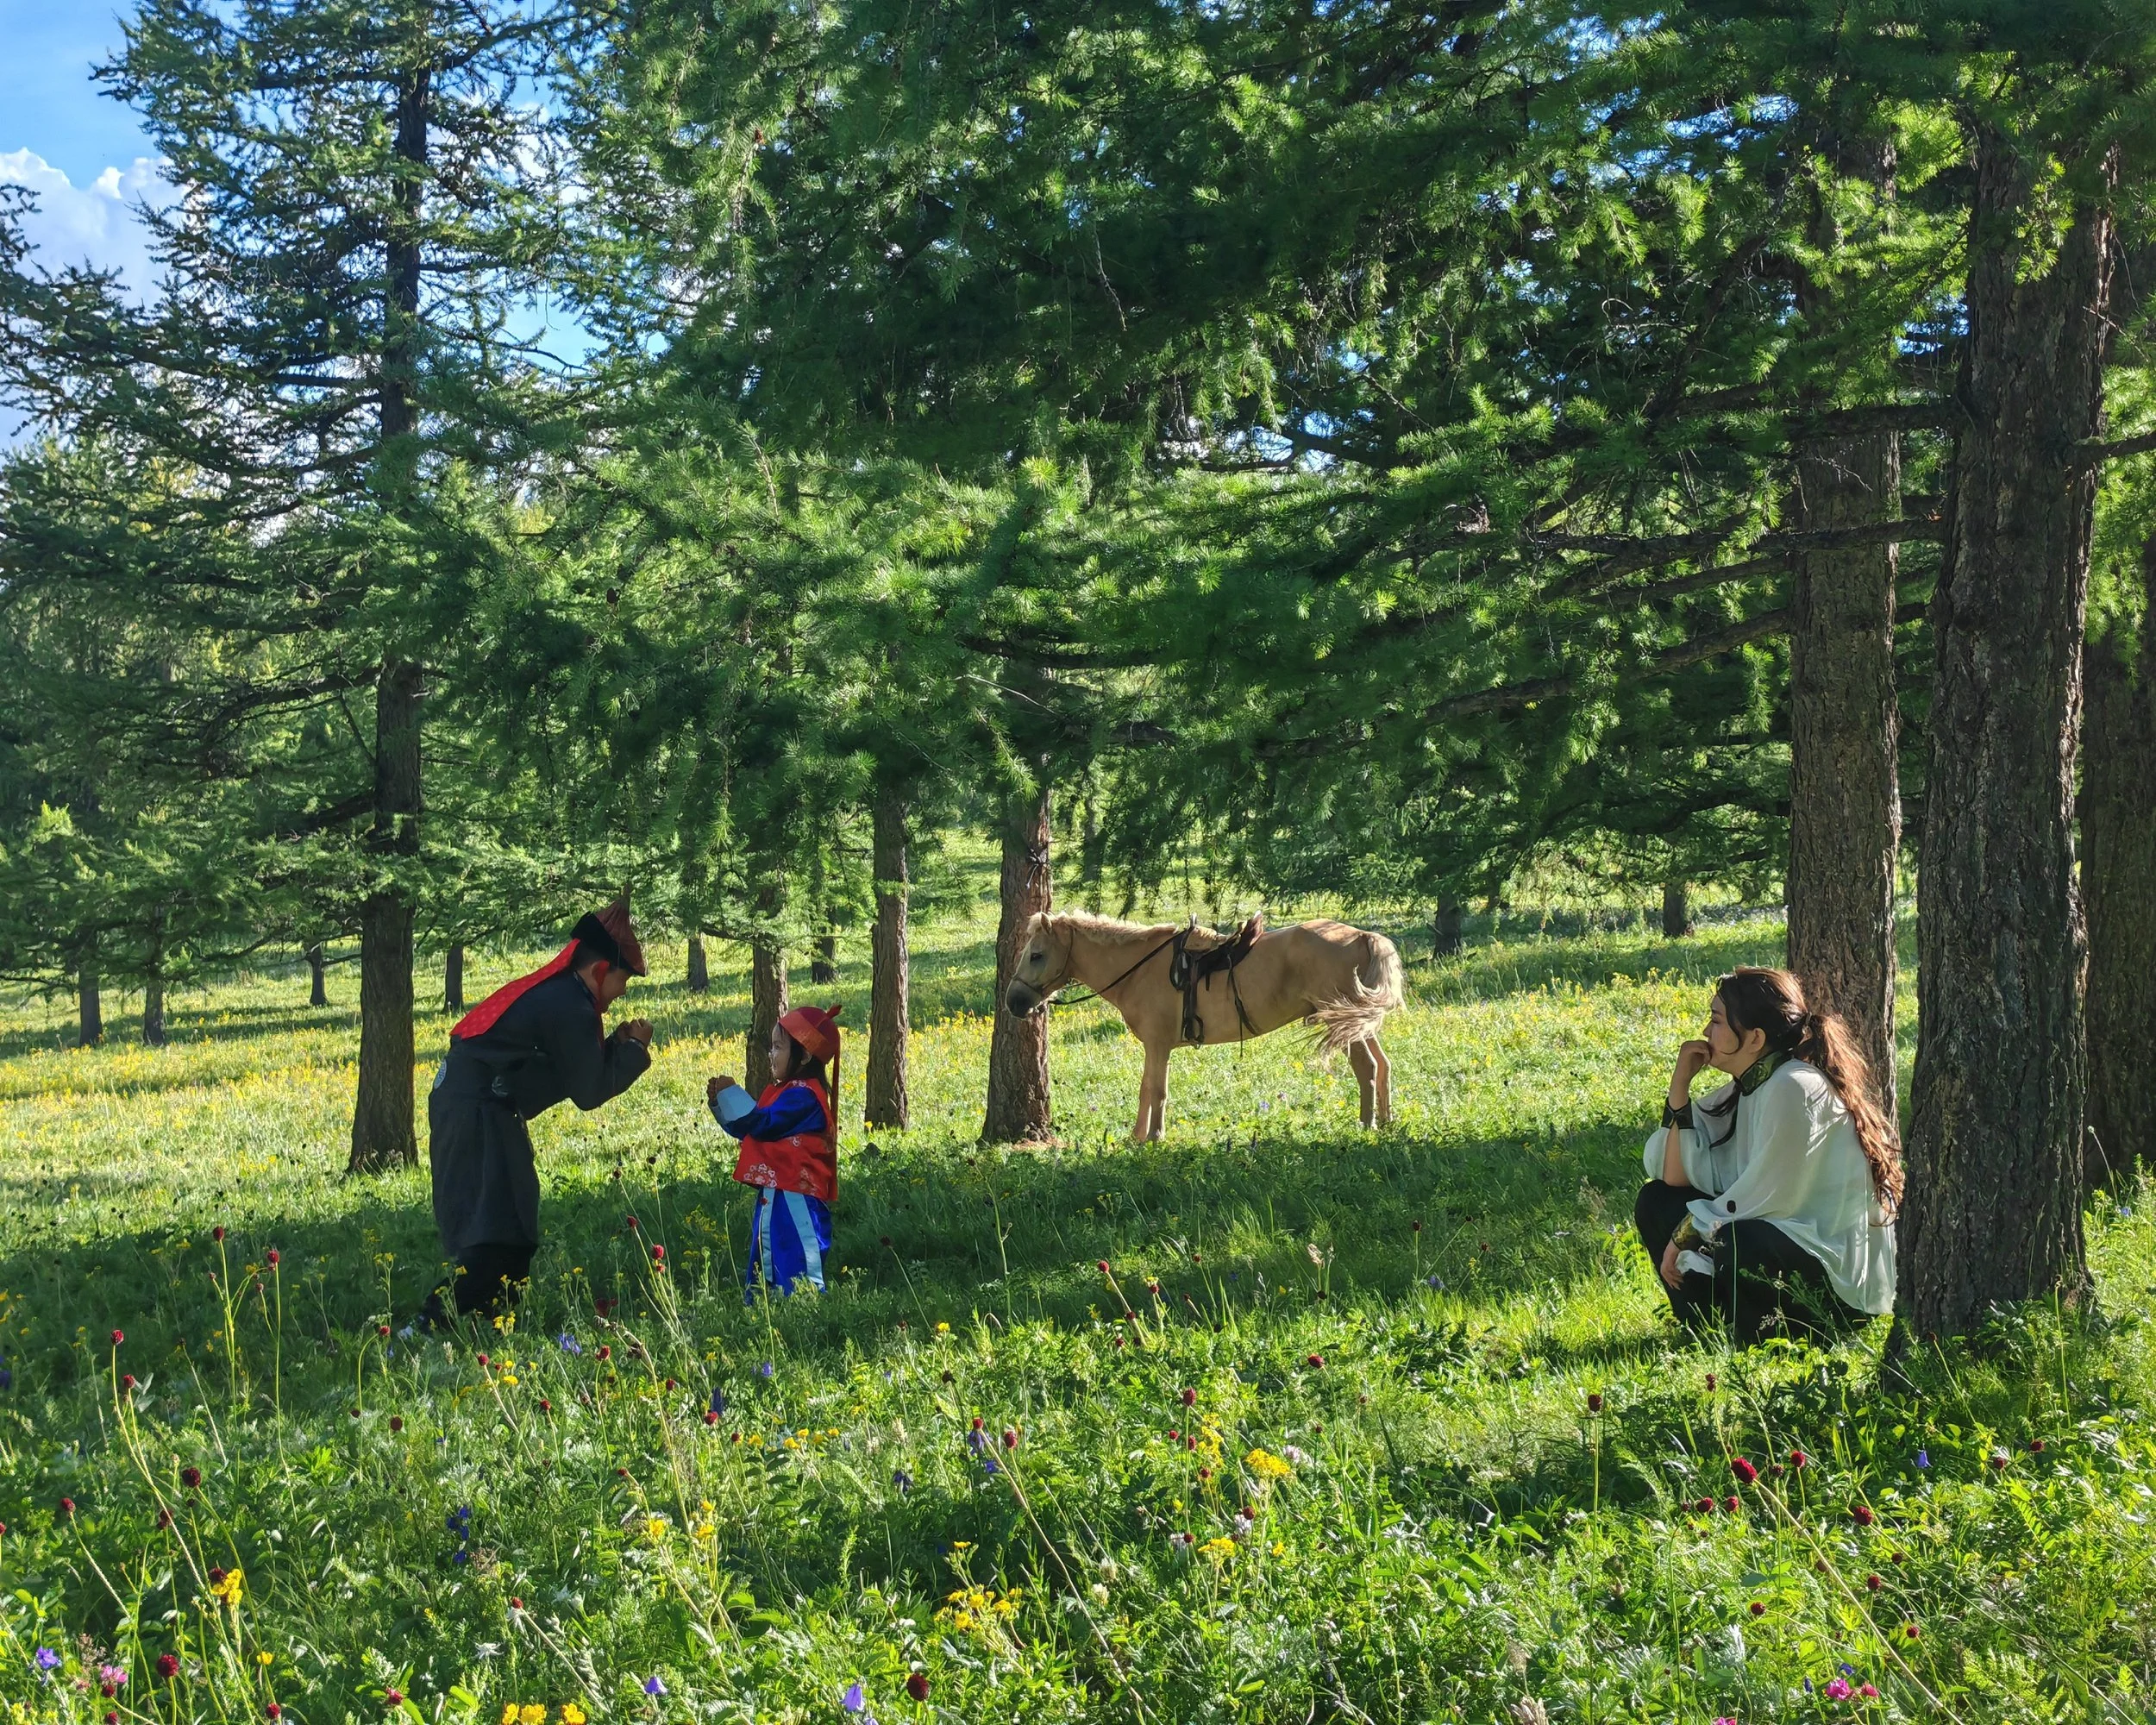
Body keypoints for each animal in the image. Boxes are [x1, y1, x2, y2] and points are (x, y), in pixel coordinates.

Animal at [1004, 910, 1405, 1141]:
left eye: (1036, 955)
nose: (1014, 1002)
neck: (1139, 968)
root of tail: (1364, 936)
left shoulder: (1158, 1045)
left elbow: (1156, 1091)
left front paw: (1153, 1137)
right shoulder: (1155, 1047)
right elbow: (1147, 1089)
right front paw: (1138, 1136)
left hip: (1346, 1025)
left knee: (1367, 1067)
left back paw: (1367, 1125)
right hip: (1360, 1024)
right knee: (1384, 1065)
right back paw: (1386, 1121)